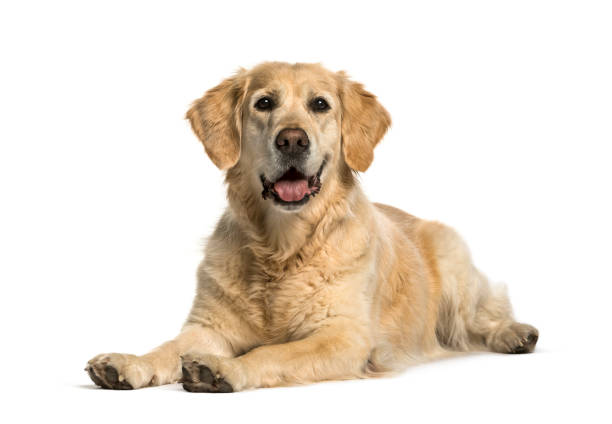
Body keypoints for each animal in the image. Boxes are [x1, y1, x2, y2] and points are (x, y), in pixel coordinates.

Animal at [87, 61, 540, 392]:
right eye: (264, 103)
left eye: (320, 105)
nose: (292, 140)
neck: (281, 247)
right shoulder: (209, 326)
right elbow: (168, 348)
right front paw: (129, 362)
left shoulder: (343, 337)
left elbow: (272, 353)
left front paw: (225, 370)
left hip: (454, 267)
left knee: (484, 315)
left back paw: (516, 334)